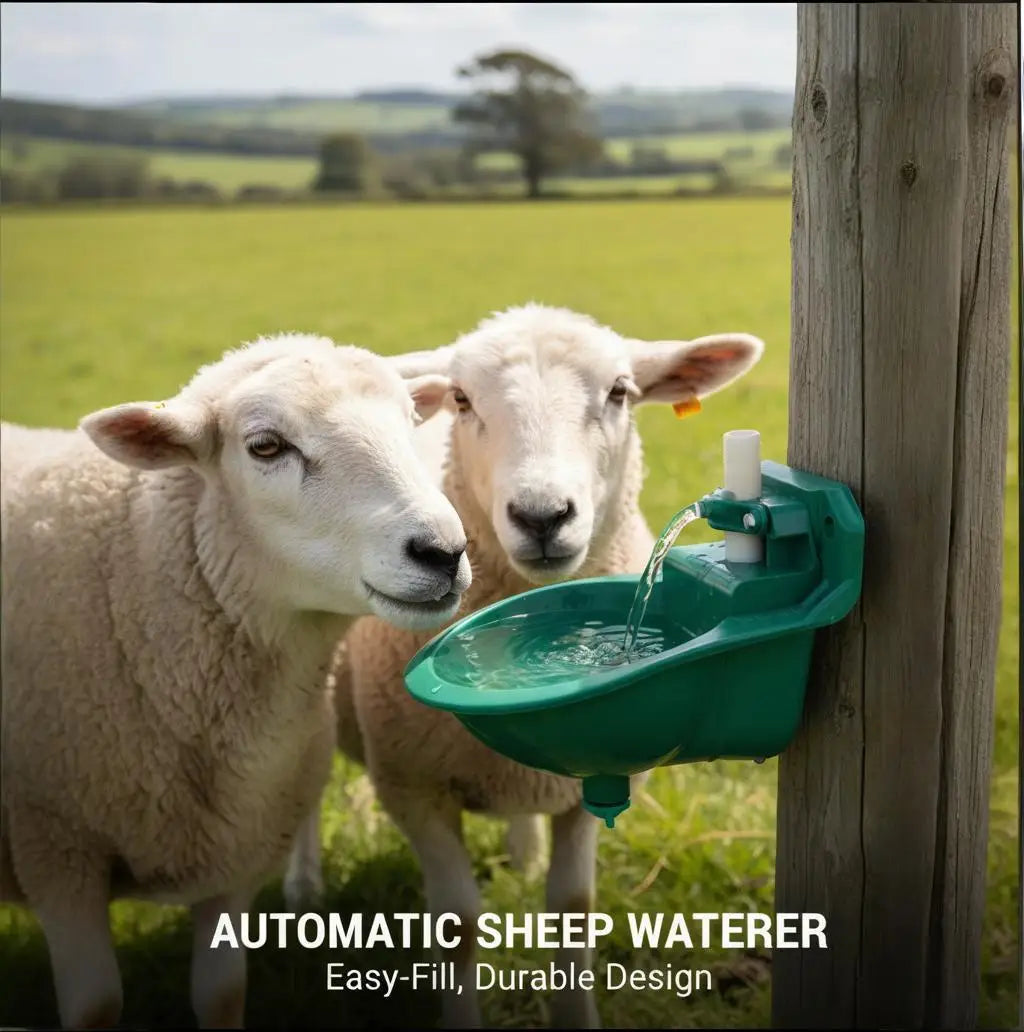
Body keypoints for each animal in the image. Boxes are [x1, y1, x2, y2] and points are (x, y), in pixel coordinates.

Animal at [0, 332, 473, 1030]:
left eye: (412, 421)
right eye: (266, 446)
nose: (443, 551)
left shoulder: (233, 854)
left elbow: (223, 997)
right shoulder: (57, 851)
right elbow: (96, 1008)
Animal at [285, 304, 765, 1028]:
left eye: (620, 392)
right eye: (461, 399)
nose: (542, 516)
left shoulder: (593, 773)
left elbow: (574, 908)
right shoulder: (410, 785)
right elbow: (456, 922)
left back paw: (522, 850)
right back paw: (305, 887)